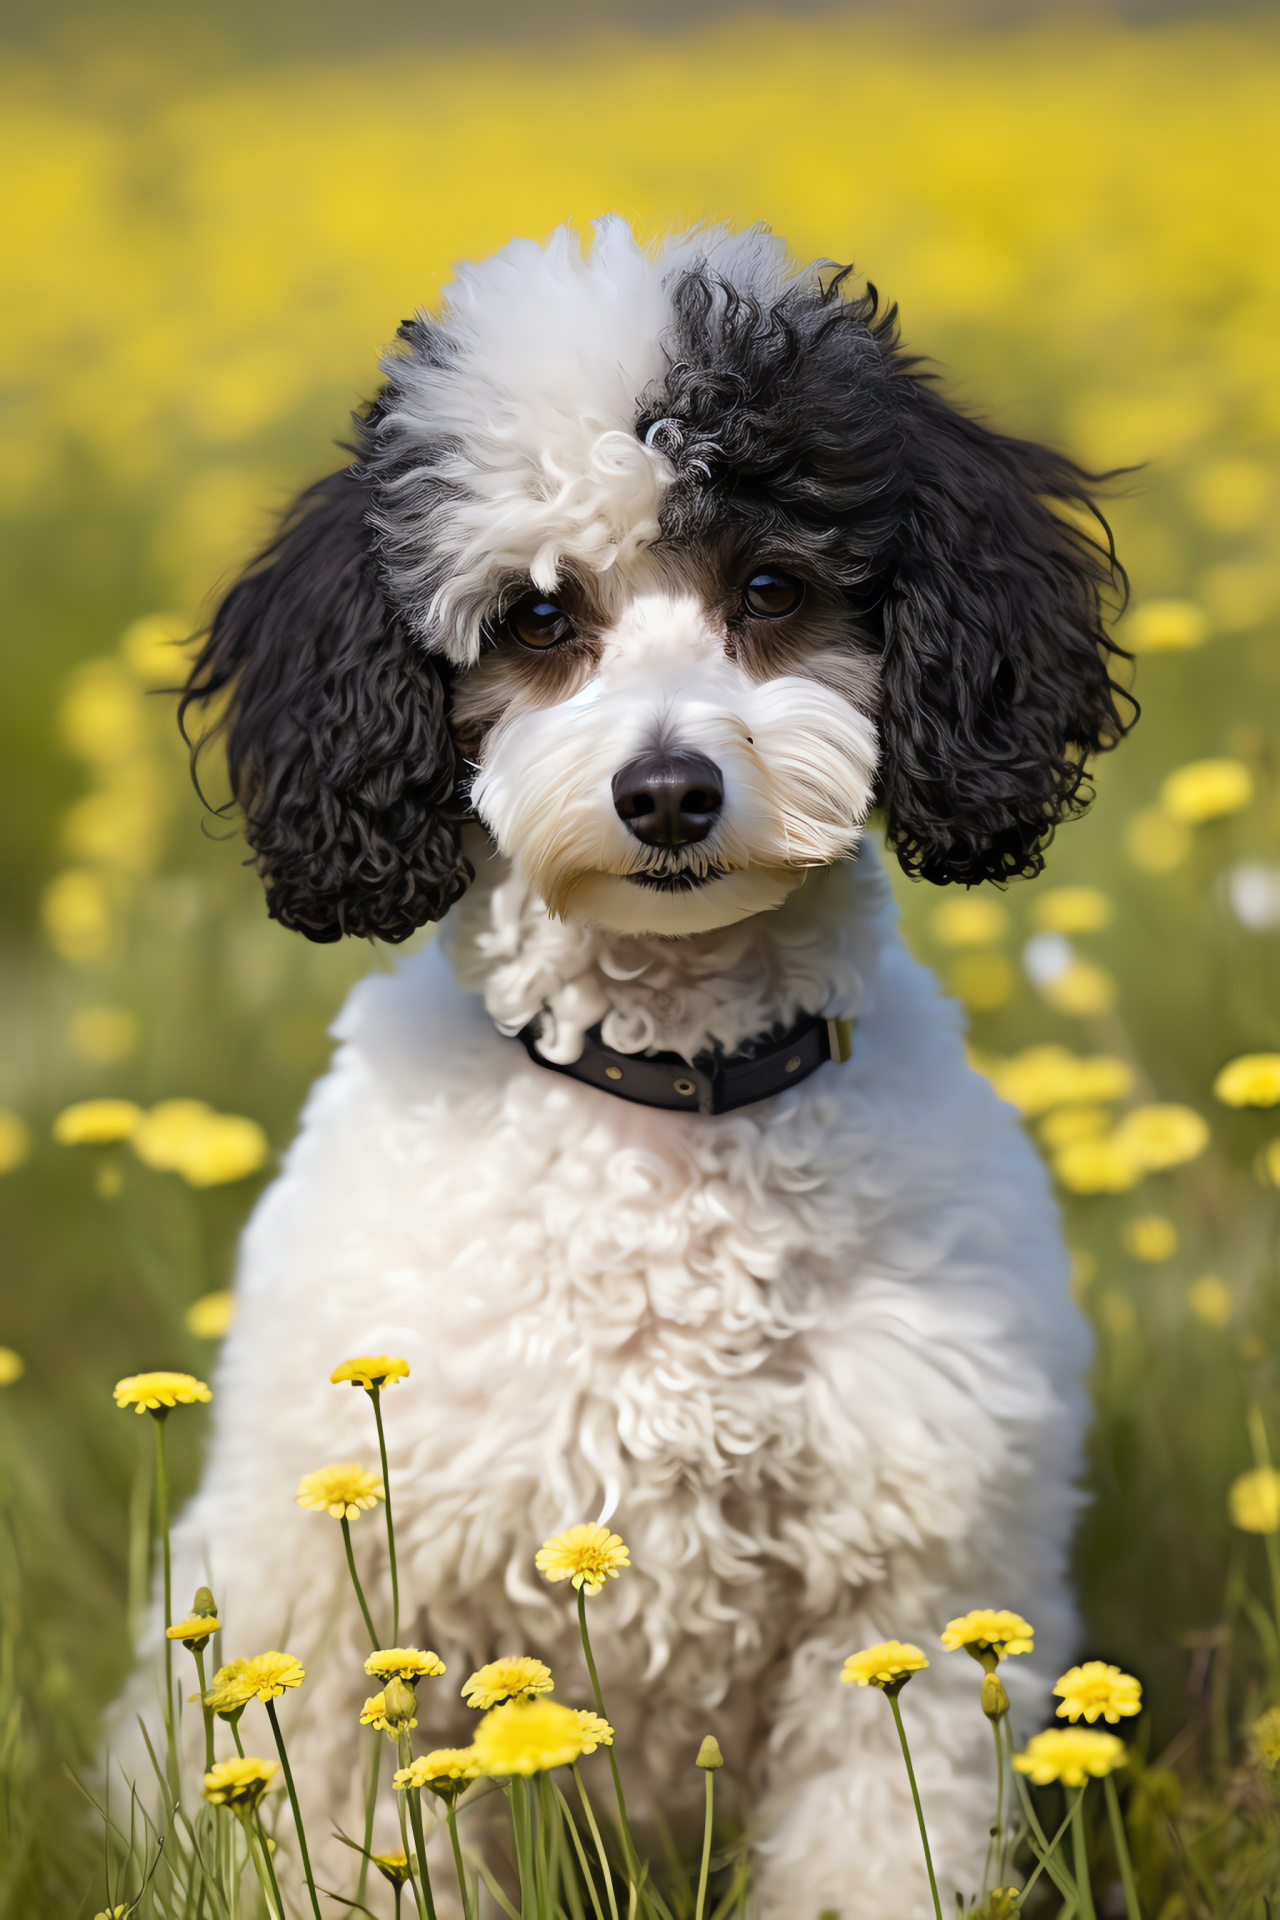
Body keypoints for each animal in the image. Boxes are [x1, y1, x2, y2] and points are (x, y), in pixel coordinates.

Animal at [127, 217, 1128, 1912]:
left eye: (773, 585)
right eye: (538, 617)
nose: (667, 791)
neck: (670, 1108)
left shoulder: (905, 1597)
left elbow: (878, 1843)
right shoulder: (360, 1615)